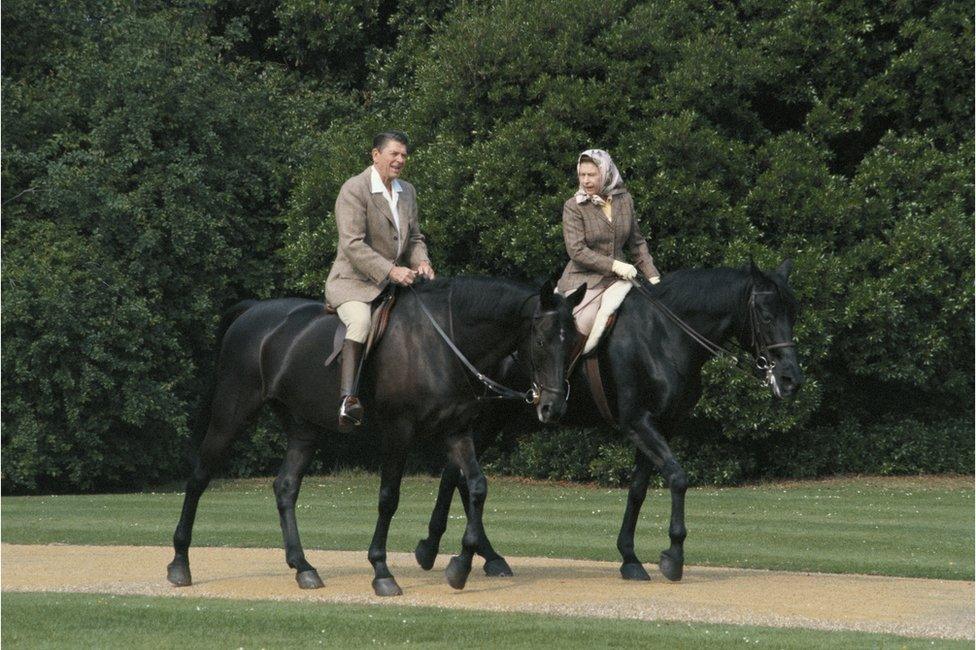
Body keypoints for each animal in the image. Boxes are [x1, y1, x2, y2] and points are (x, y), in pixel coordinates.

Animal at [166, 276, 588, 596]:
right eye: (541, 340)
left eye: (573, 342)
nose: (553, 408)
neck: (442, 342)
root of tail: (252, 310)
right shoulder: (398, 432)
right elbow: (389, 498)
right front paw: (382, 570)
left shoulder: (456, 432)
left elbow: (476, 487)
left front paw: (460, 566)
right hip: (231, 414)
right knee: (199, 477)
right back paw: (180, 562)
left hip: (303, 429)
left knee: (285, 487)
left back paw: (303, 567)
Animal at [412, 260, 800, 580]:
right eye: (766, 315)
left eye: (793, 313)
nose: (791, 378)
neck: (663, 333)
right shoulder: (638, 422)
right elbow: (677, 478)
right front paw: (673, 556)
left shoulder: (661, 425)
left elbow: (639, 489)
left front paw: (630, 558)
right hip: (487, 417)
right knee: (456, 475)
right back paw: (437, 548)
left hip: (496, 418)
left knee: (458, 475)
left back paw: (484, 555)